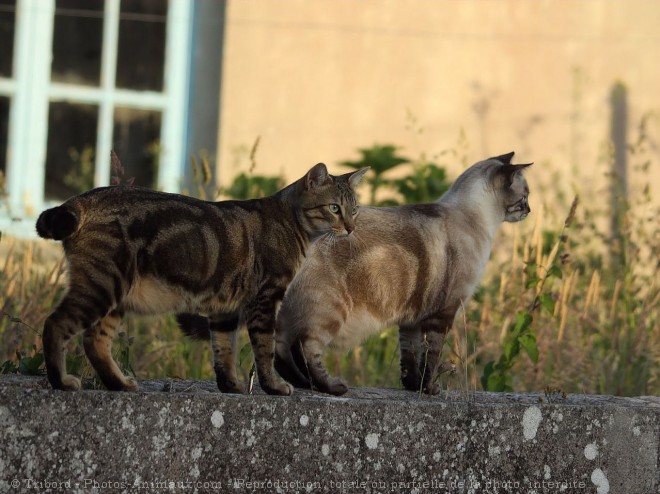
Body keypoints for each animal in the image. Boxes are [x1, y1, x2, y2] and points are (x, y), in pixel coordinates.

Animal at [36, 164, 368, 396]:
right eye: (334, 208)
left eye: (354, 209)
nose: (351, 228)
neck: (293, 224)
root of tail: (83, 198)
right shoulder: (266, 298)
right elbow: (265, 350)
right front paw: (274, 386)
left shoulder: (226, 309)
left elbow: (224, 351)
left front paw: (231, 385)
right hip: (102, 286)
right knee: (55, 325)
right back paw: (61, 381)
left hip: (116, 297)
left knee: (95, 341)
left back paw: (119, 384)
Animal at [274, 152, 532, 396]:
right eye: (526, 195)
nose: (529, 210)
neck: (476, 219)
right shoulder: (443, 313)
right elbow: (431, 356)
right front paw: (430, 390)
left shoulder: (412, 319)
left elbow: (410, 358)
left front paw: (413, 387)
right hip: (329, 311)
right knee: (303, 347)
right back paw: (330, 387)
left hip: (286, 314)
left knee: (280, 351)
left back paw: (299, 383)